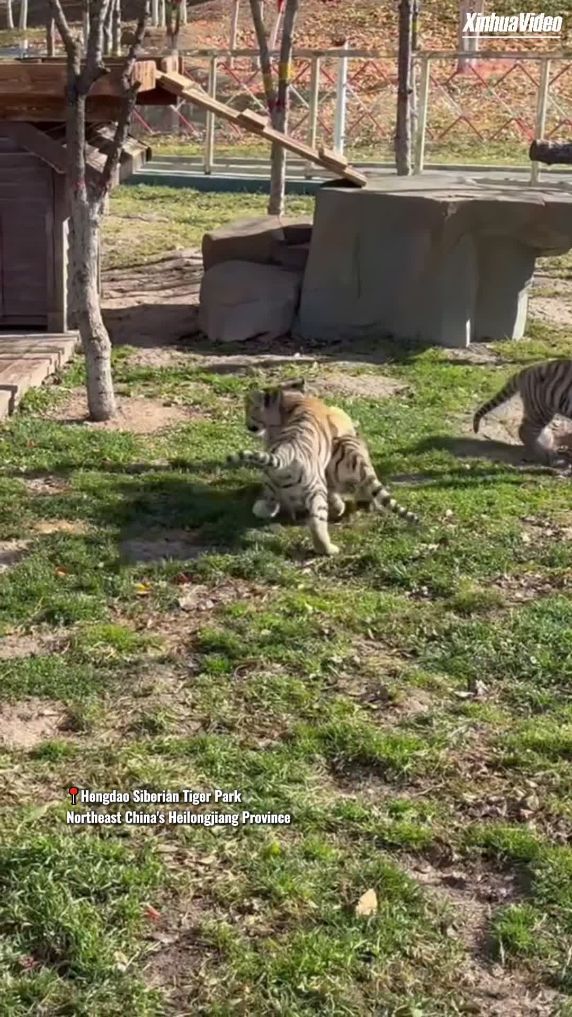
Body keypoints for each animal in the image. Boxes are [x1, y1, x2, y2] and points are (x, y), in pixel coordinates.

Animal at [227, 379, 418, 555]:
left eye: (248, 410)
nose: (247, 425)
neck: (292, 399)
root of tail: (287, 452)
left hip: (308, 487)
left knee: (314, 521)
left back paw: (328, 547)